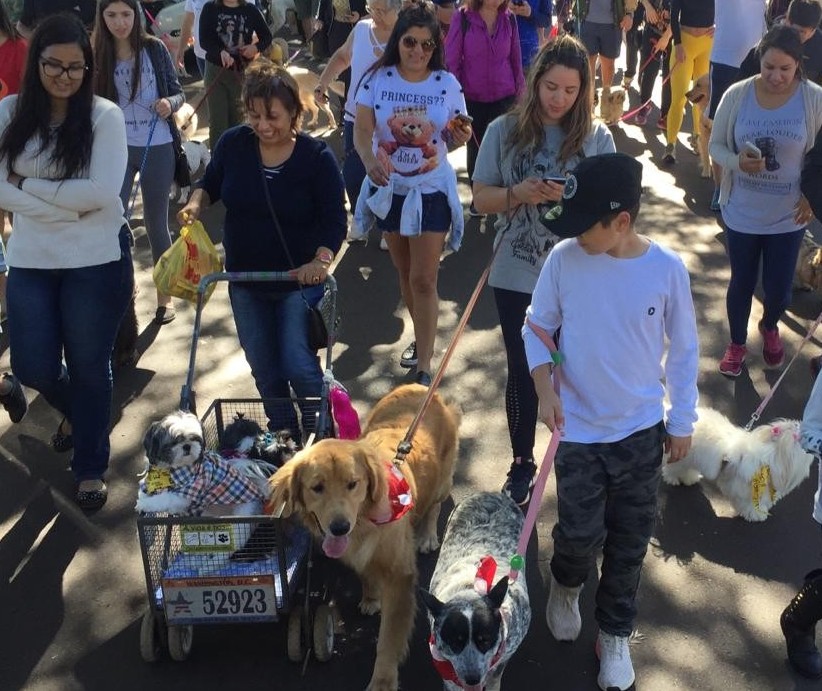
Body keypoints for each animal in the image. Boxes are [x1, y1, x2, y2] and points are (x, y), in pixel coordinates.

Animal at [422, 492, 532, 691]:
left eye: (485, 640)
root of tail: (493, 494)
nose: (472, 679)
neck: (472, 588)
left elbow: (496, 675)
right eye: (455, 642)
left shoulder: (506, 654)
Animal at [664, 408, 816, 520]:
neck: (772, 457)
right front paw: (756, 514)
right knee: (671, 467)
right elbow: (749, 503)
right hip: (681, 456)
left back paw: (690, 478)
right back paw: (673, 478)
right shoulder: (744, 490)